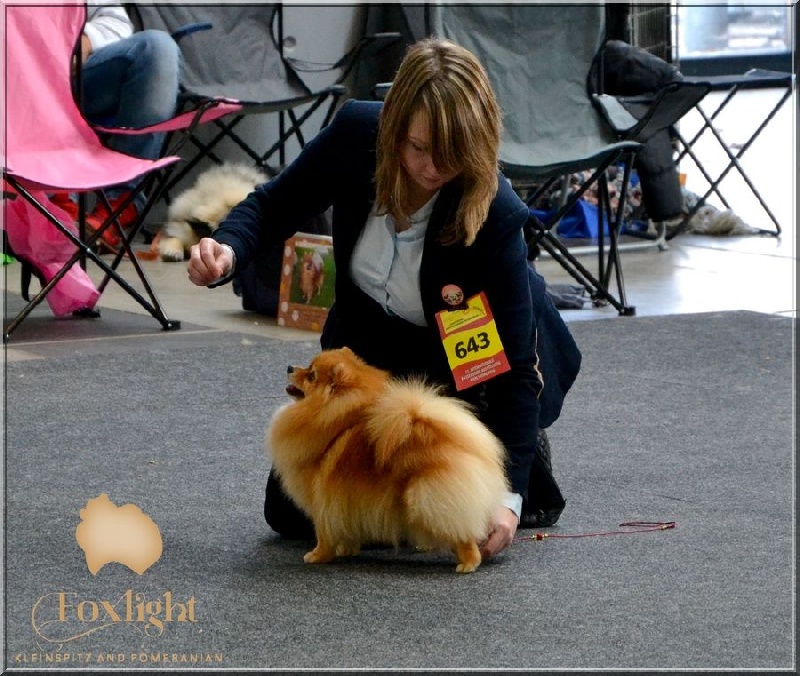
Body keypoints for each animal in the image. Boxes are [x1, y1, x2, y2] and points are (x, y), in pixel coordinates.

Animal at [266, 346, 510, 572]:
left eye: (311, 376)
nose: (290, 367)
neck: (333, 417)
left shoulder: (321, 500)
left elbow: (324, 534)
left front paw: (317, 556)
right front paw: (347, 550)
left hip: (427, 498)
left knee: (460, 533)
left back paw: (467, 563)